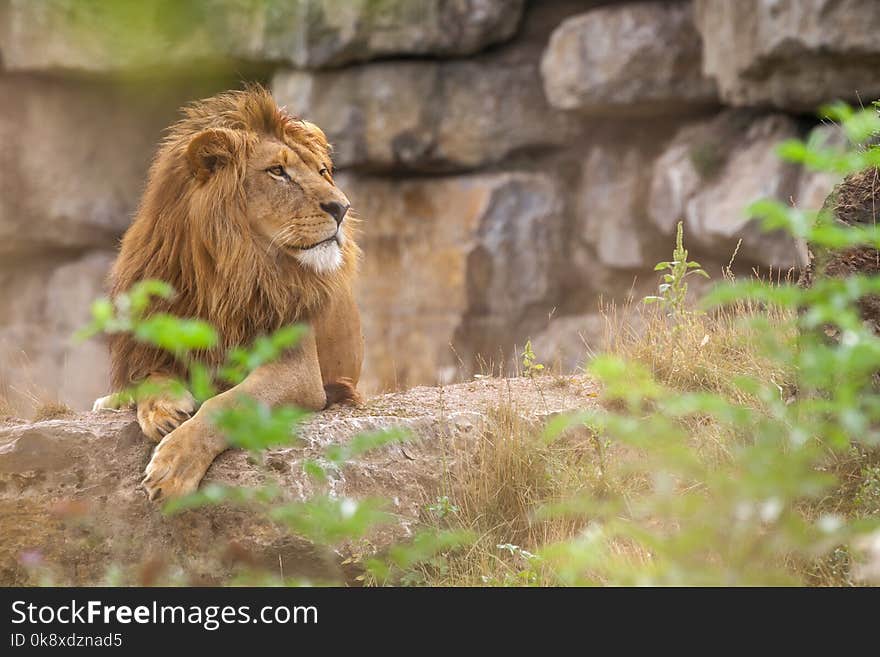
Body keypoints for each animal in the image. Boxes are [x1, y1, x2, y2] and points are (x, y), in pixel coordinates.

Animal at [91, 84, 362, 500]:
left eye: (322, 172)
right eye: (278, 171)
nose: (342, 207)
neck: (229, 270)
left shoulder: (298, 369)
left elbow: (228, 402)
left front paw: (173, 466)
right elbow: (150, 375)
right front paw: (162, 409)